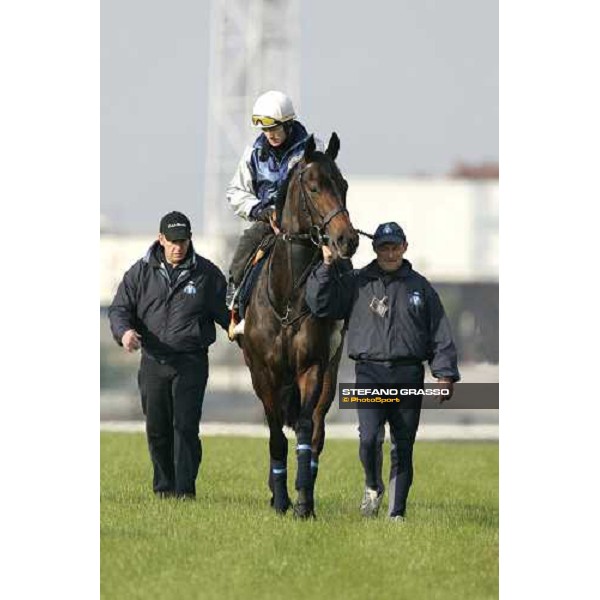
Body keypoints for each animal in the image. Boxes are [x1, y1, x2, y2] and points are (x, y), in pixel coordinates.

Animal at [241, 134, 358, 516]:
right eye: (314, 186)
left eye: (344, 185)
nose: (348, 239)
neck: (287, 296)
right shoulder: (263, 371)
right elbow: (275, 434)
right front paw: (280, 498)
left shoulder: (313, 365)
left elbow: (306, 429)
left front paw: (303, 500)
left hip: (331, 371)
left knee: (317, 430)